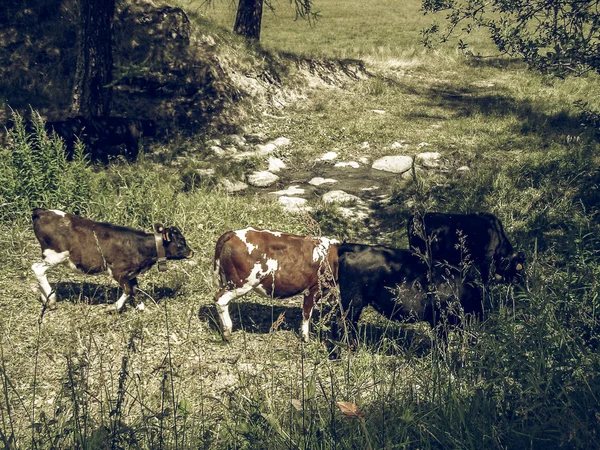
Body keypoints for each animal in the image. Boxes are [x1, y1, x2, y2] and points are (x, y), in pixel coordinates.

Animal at [31, 209, 193, 312]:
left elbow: (135, 289)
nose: (191, 252)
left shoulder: (131, 274)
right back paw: (51, 299)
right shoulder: (118, 271)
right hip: (55, 255)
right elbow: (128, 290)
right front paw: (114, 307)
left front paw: (141, 307)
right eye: (180, 243)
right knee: (37, 269)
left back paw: (45, 299)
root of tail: (42, 211)